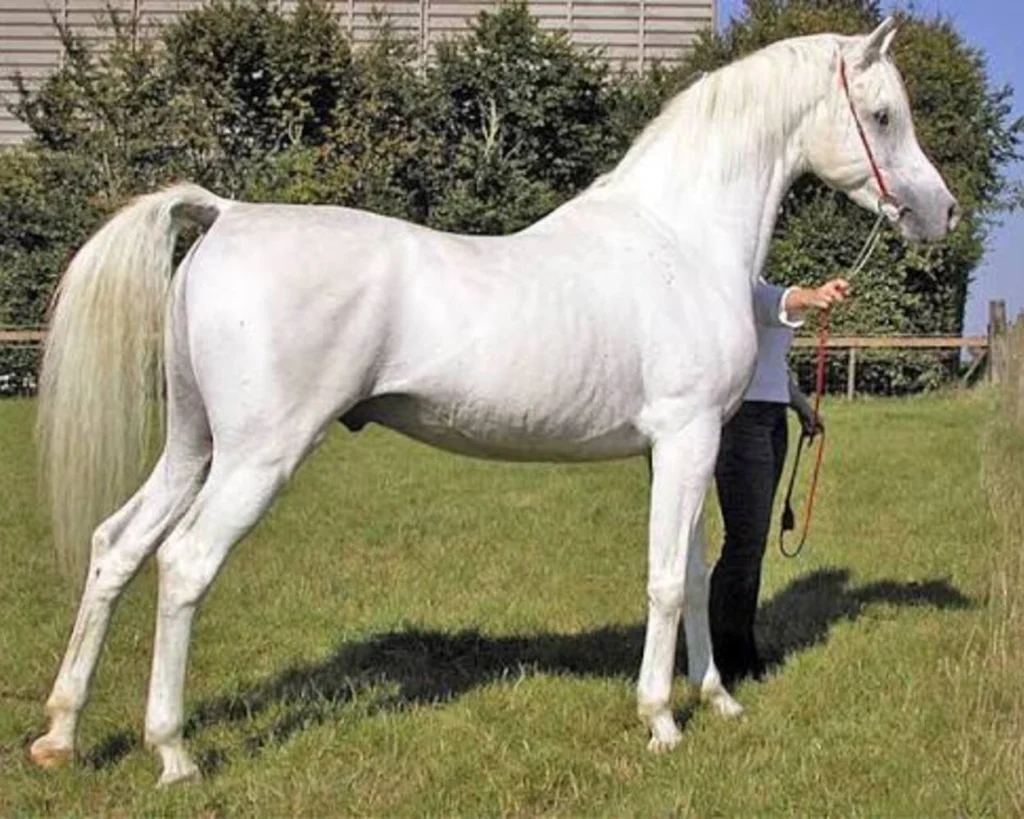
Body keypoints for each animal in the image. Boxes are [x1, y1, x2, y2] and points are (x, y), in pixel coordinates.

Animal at [29, 17, 957, 786]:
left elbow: (692, 575)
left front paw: (718, 698)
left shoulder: (678, 451)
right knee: (184, 563)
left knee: (117, 547)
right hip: (258, 456)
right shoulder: (687, 437)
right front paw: (661, 719)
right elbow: (663, 582)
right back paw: (173, 751)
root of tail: (227, 214)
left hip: (193, 446)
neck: (680, 238)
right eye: (882, 116)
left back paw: (62, 733)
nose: (940, 211)